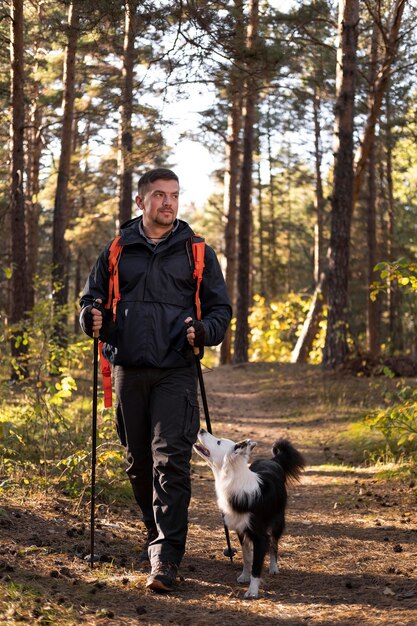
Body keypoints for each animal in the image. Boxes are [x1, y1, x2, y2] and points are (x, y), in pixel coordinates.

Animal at [193, 426, 304, 596]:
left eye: (218, 442)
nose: (202, 429)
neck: (232, 480)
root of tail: (272, 460)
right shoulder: (241, 529)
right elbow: (246, 556)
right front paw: (245, 576)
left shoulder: (260, 536)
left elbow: (257, 564)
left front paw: (252, 591)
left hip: (278, 520)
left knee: (274, 543)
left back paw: (274, 567)